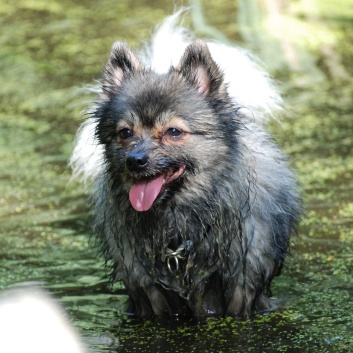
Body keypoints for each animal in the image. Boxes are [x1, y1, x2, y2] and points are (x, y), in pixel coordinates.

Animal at [71, 12, 300, 318]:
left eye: (173, 132)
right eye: (125, 133)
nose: (135, 161)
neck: (177, 231)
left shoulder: (242, 285)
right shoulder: (149, 292)